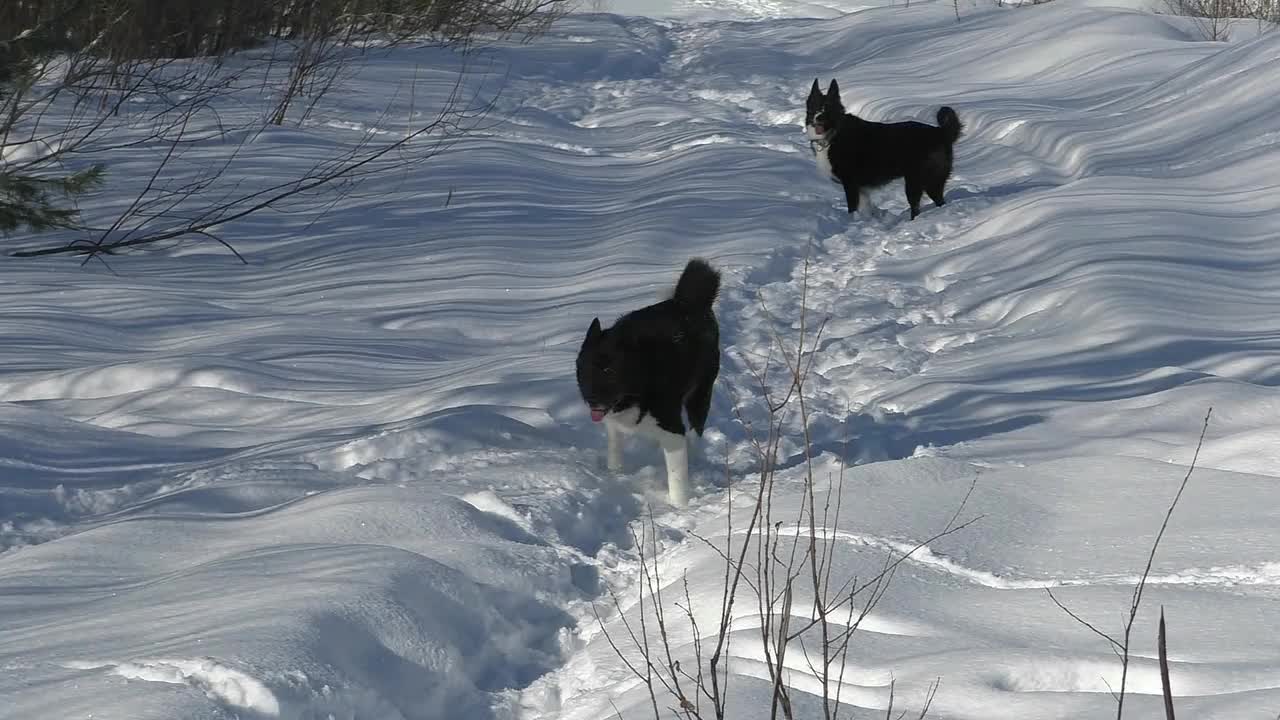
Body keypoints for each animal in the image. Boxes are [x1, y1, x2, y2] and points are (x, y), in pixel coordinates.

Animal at [578, 257, 721, 504]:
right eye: (586, 371)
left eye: (610, 371)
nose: (592, 400)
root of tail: (686, 301)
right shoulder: (613, 424)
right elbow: (614, 454)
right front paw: (615, 477)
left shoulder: (672, 429)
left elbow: (676, 479)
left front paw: (680, 507)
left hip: (700, 393)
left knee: (696, 430)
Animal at [803, 77, 962, 219]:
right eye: (814, 107)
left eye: (828, 108)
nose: (818, 117)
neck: (835, 131)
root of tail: (940, 132)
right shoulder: (861, 189)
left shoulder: (850, 184)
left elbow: (852, 209)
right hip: (932, 181)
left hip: (916, 181)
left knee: (916, 208)